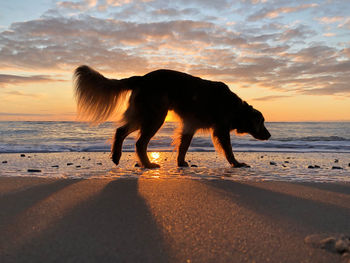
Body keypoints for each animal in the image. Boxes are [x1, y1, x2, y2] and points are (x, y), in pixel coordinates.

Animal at [74, 66, 270, 169]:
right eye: (262, 122)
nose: (269, 135)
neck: (235, 107)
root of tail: (142, 77)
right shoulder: (221, 129)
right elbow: (228, 149)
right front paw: (236, 163)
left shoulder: (190, 126)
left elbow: (183, 146)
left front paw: (181, 162)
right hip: (155, 116)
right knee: (140, 142)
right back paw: (147, 164)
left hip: (143, 115)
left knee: (121, 131)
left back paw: (116, 156)